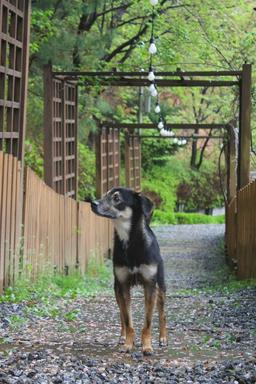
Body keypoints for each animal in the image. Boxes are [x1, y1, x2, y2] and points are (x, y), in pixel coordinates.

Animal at [91, 188, 167, 356]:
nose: (92, 203)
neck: (130, 241)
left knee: (162, 313)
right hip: (116, 289)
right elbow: (127, 320)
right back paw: (123, 336)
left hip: (161, 286)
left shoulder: (150, 285)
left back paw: (163, 338)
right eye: (105, 194)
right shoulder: (123, 284)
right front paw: (128, 344)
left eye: (116, 198)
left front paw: (147, 346)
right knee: (122, 314)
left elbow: (148, 322)